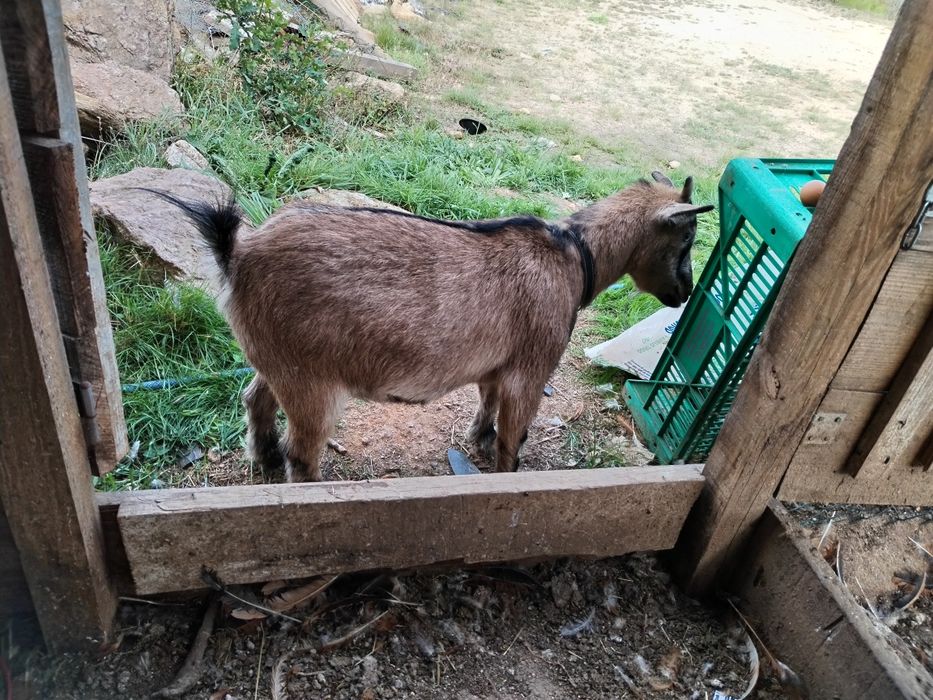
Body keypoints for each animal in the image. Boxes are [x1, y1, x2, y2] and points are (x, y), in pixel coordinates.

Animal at [159, 171, 713, 481]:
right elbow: (515, 435)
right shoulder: (532, 366)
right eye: (686, 241)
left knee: (254, 396)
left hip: (275, 357)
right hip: (310, 378)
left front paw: (479, 436)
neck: (577, 256)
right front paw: (505, 473)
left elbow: (487, 400)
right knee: (304, 450)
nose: (685, 292)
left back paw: (265, 460)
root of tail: (238, 253)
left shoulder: (498, 363)